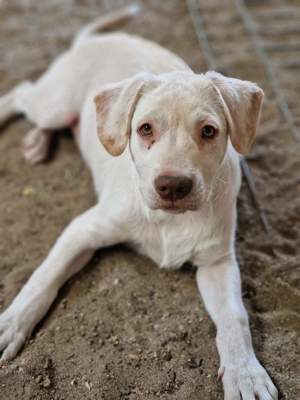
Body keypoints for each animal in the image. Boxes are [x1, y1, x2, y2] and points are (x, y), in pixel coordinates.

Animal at [0, 3, 278, 400]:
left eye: (209, 131)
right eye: (145, 129)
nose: (173, 186)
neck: (169, 221)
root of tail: (96, 40)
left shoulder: (218, 262)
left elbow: (235, 318)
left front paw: (245, 374)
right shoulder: (82, 230)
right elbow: (44, 275)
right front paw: (11, 323)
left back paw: (37, 143)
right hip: (54, 102)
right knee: (21, 94)